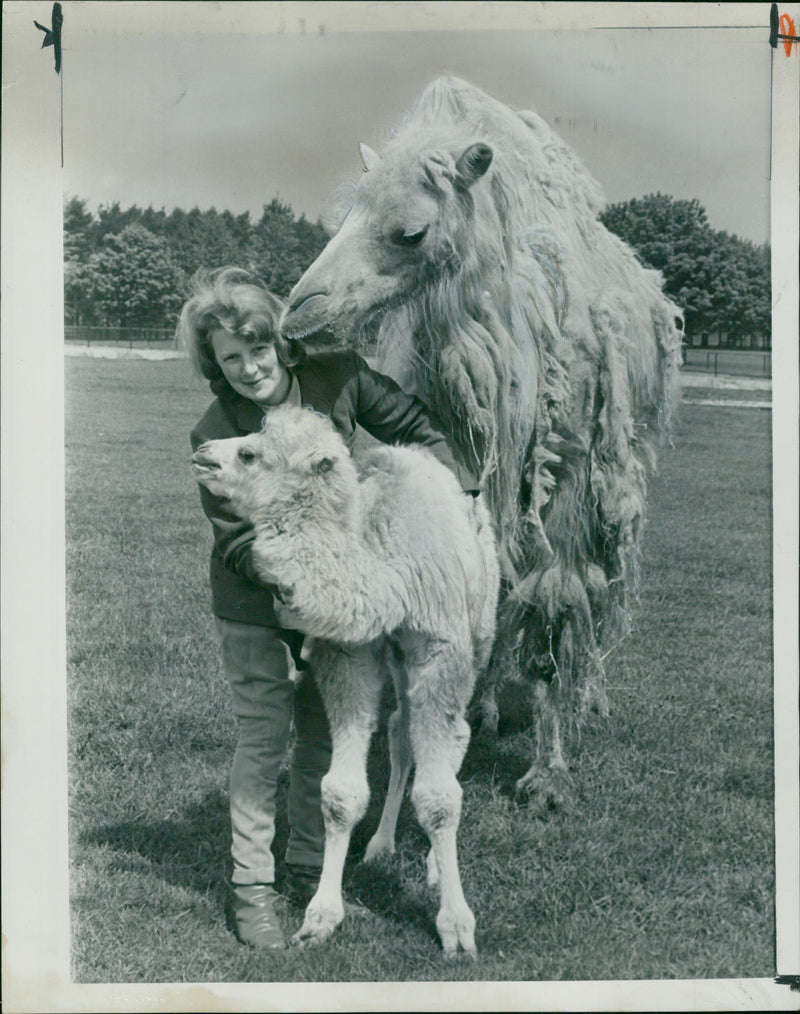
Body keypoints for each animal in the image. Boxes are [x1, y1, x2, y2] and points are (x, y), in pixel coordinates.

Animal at [190, 405, 496, 957]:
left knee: (456, 734)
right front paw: (320, 917)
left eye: (249, 453)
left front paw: (457, 927)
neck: (387, 574)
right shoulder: (351, 653)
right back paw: (380, 845)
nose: (202, 452)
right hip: (397, 657)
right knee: (399, 731)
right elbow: (339, 793)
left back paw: (434, 866)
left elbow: (440, 800)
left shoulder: (441, 650)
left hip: (479, 630)